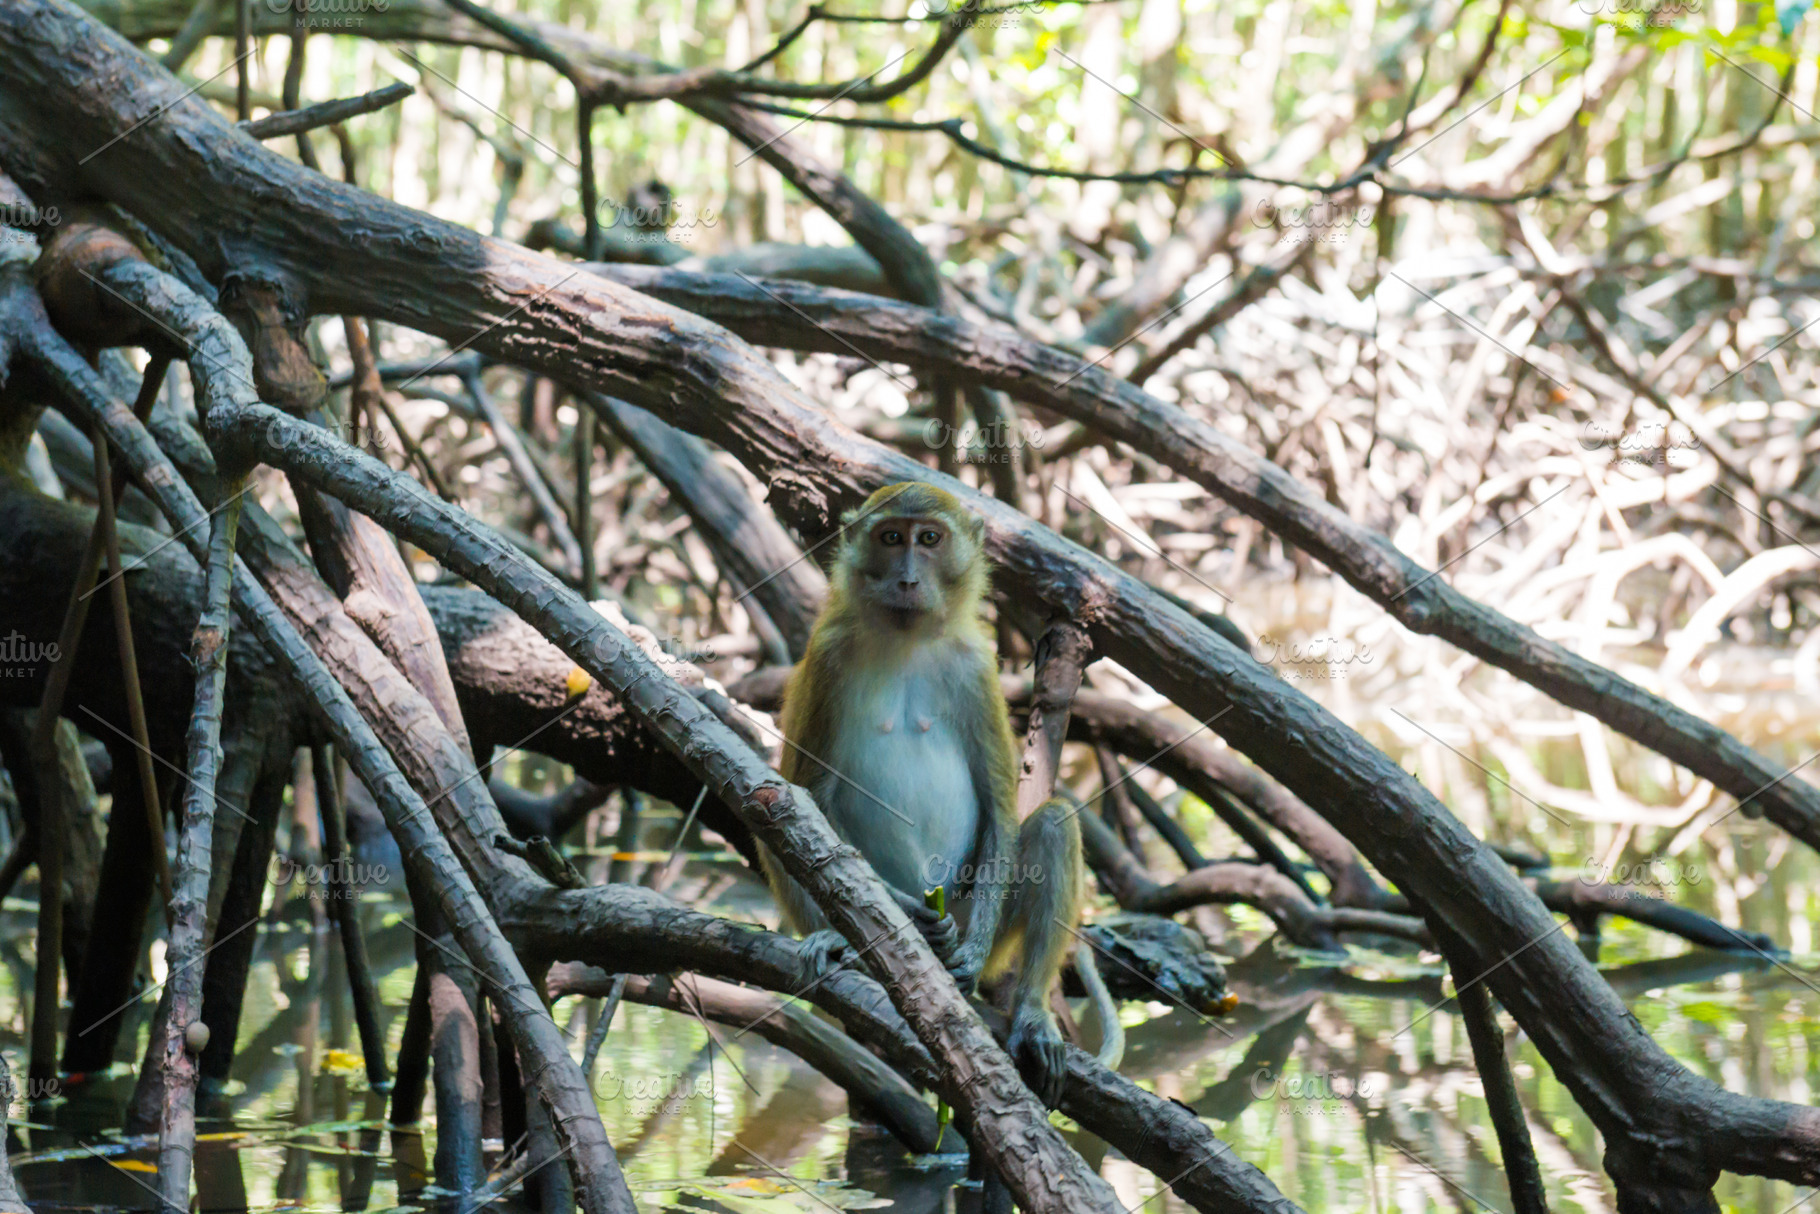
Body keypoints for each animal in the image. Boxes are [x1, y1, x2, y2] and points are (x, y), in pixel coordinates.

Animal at [758, 481, 1085, 1108]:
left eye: (929, 539)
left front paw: (972, 956)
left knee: (1054, 823)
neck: (904, 639)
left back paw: (1031, 1011)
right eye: (891, 538)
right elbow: (810, 800)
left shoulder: (977, 666)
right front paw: (906, 913)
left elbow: (1001, 810)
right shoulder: (829, 656)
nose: (908, 578)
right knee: (773, 820)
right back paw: (838, 938)